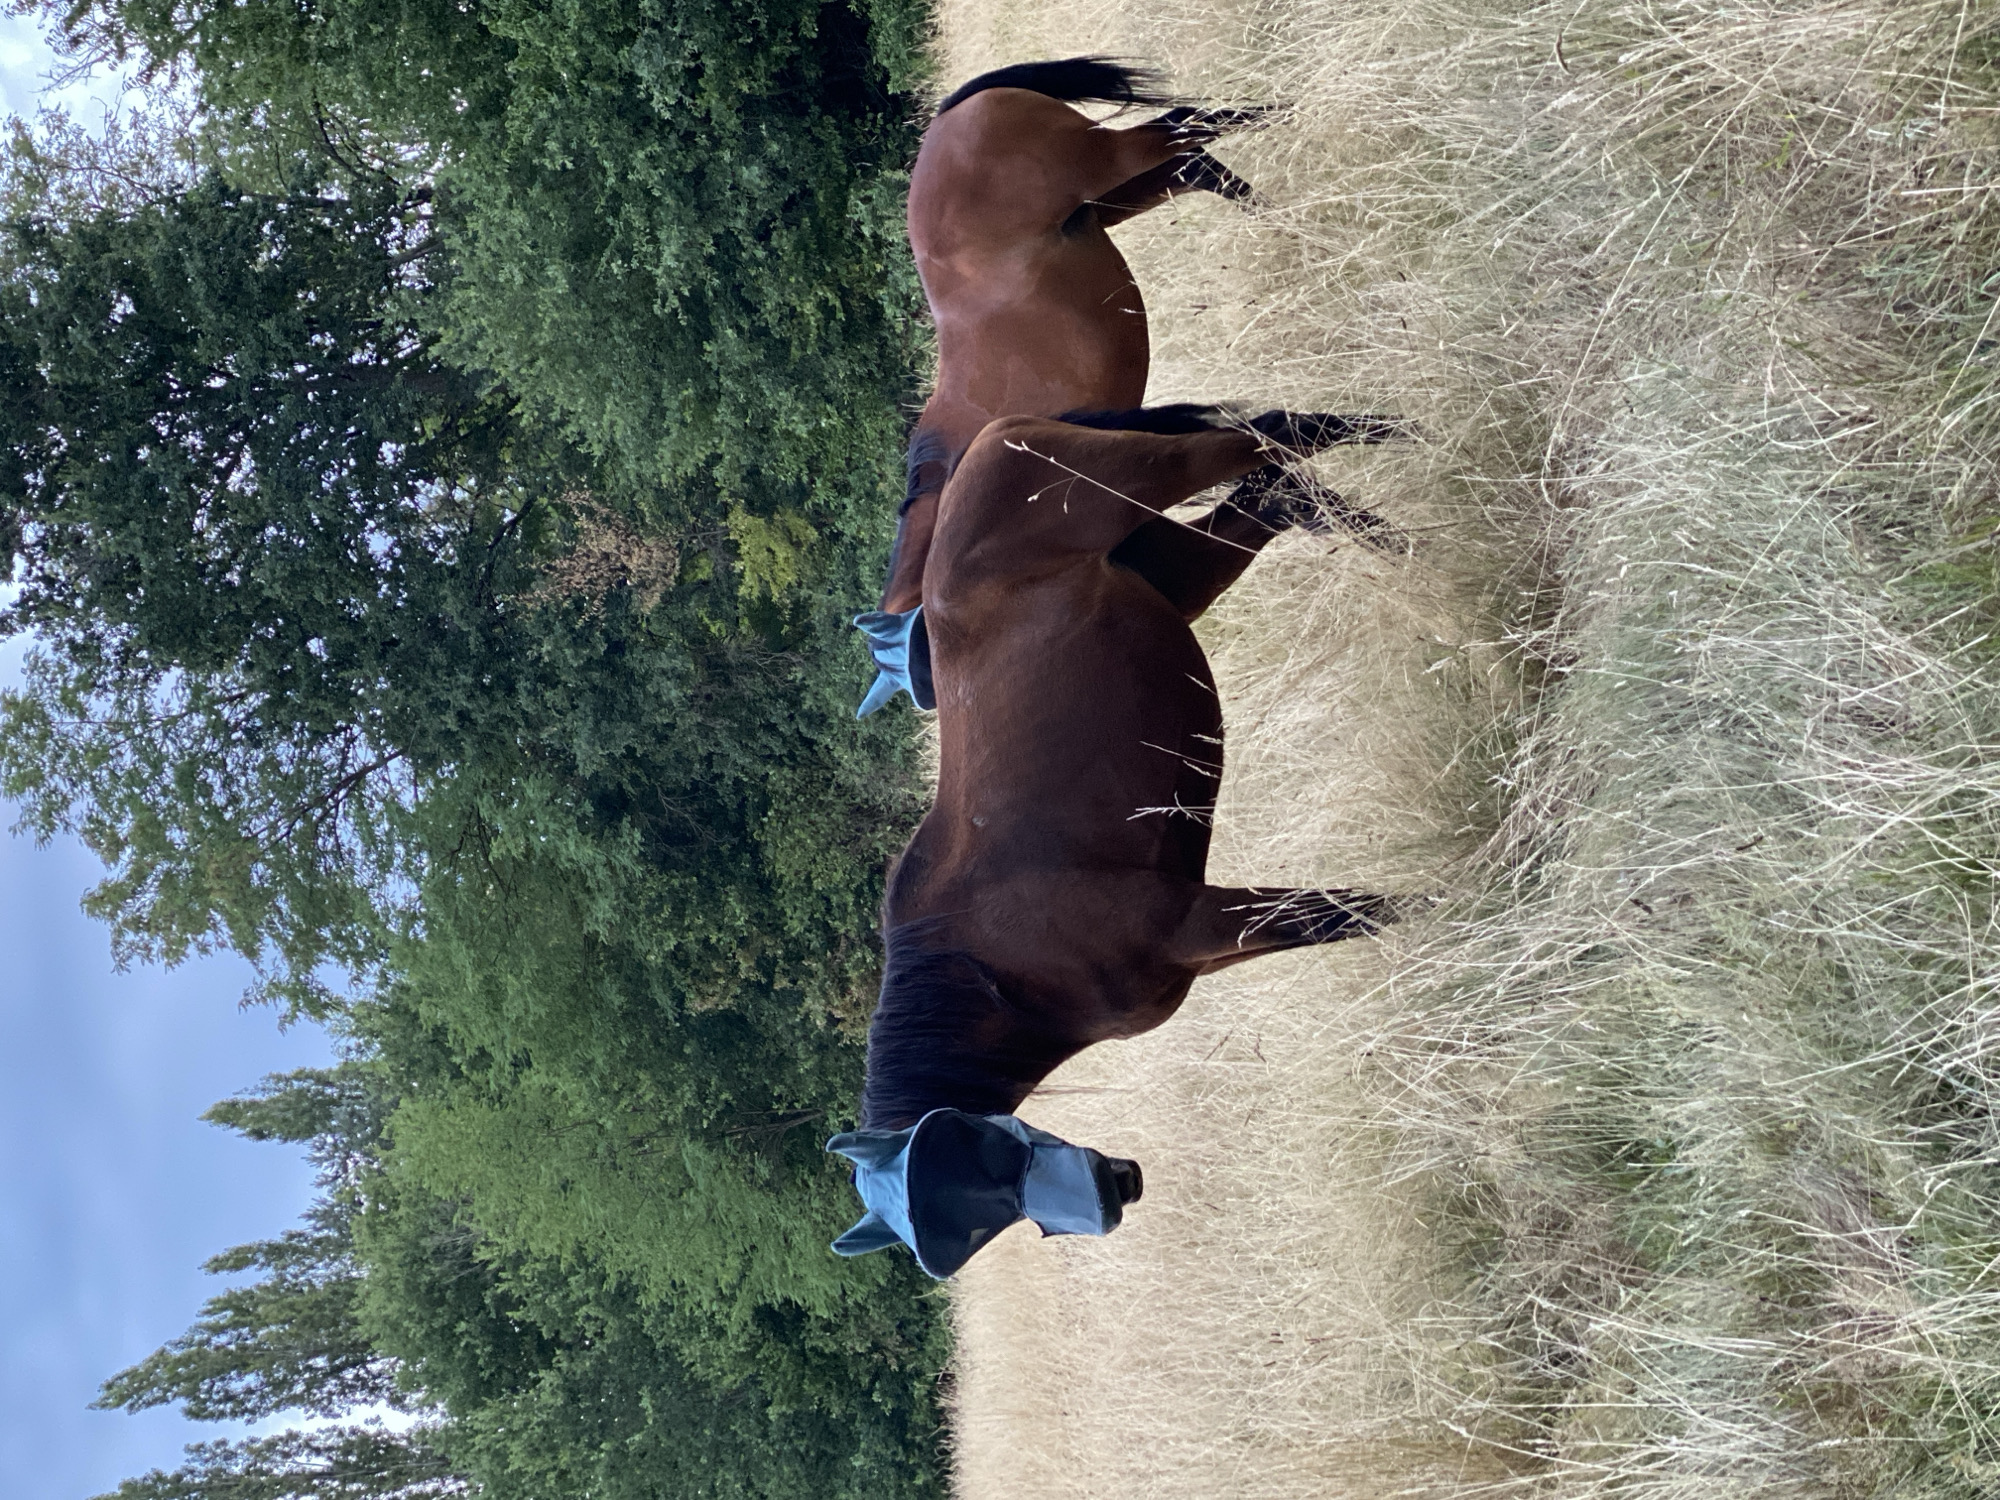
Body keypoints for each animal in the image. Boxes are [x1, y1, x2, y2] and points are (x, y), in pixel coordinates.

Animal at [858, 406, 1407, 1133]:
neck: (989, 970)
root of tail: (987, 439)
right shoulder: (1211, 942)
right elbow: (1342, 918)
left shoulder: (1196, 917)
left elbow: (1355, 914)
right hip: (1181, 561)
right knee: (1275, 490)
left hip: (1159, 474)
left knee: (1272, 433)